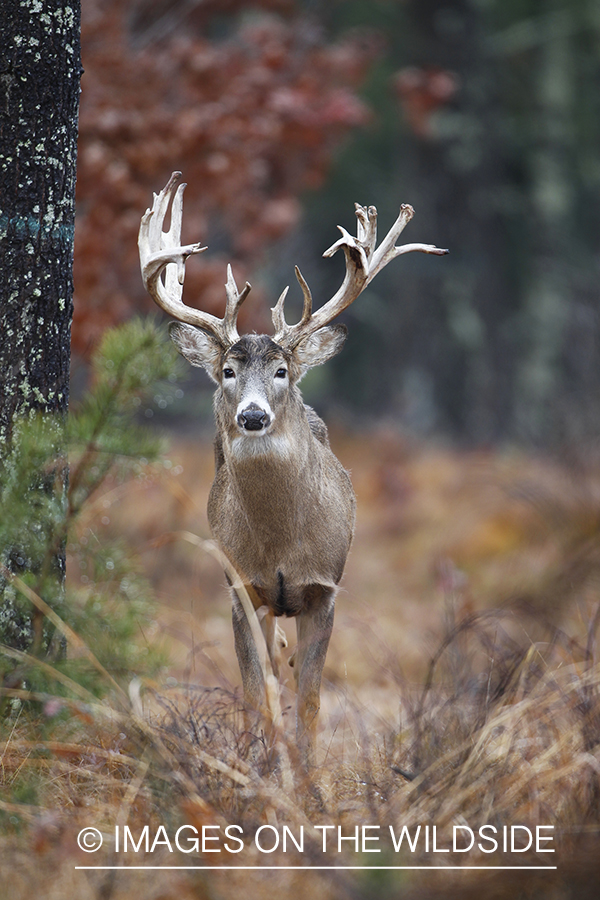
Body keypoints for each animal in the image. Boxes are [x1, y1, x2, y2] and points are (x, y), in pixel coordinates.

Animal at [138, 172, 448, 764]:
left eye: (282, 370)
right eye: (228, 370)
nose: (253, 415)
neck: (281, 544)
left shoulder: (324, 587)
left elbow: (309, 702)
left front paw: (305, 778)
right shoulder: (242, 587)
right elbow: (256, 694)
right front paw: (260, 768)